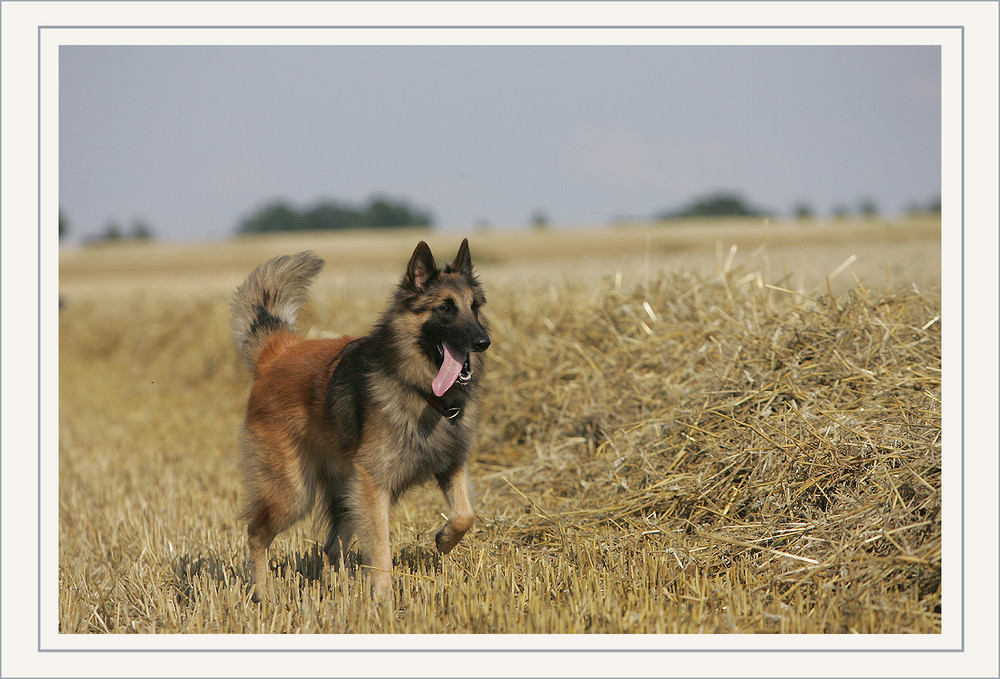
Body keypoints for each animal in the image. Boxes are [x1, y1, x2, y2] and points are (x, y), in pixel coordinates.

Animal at [228, 239, 492, 600]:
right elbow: (380, 549)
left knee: (330, 547)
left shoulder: (451, 466)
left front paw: (444, 539)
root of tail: (279, 350)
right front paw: (384, 598)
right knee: (256, 532)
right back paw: (264, 594)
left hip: (344, 493)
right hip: (294, 493)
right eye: (446, 308)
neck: (416, 388)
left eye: (475, 307)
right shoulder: (372, 485)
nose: (483, 342)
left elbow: (466, 514)